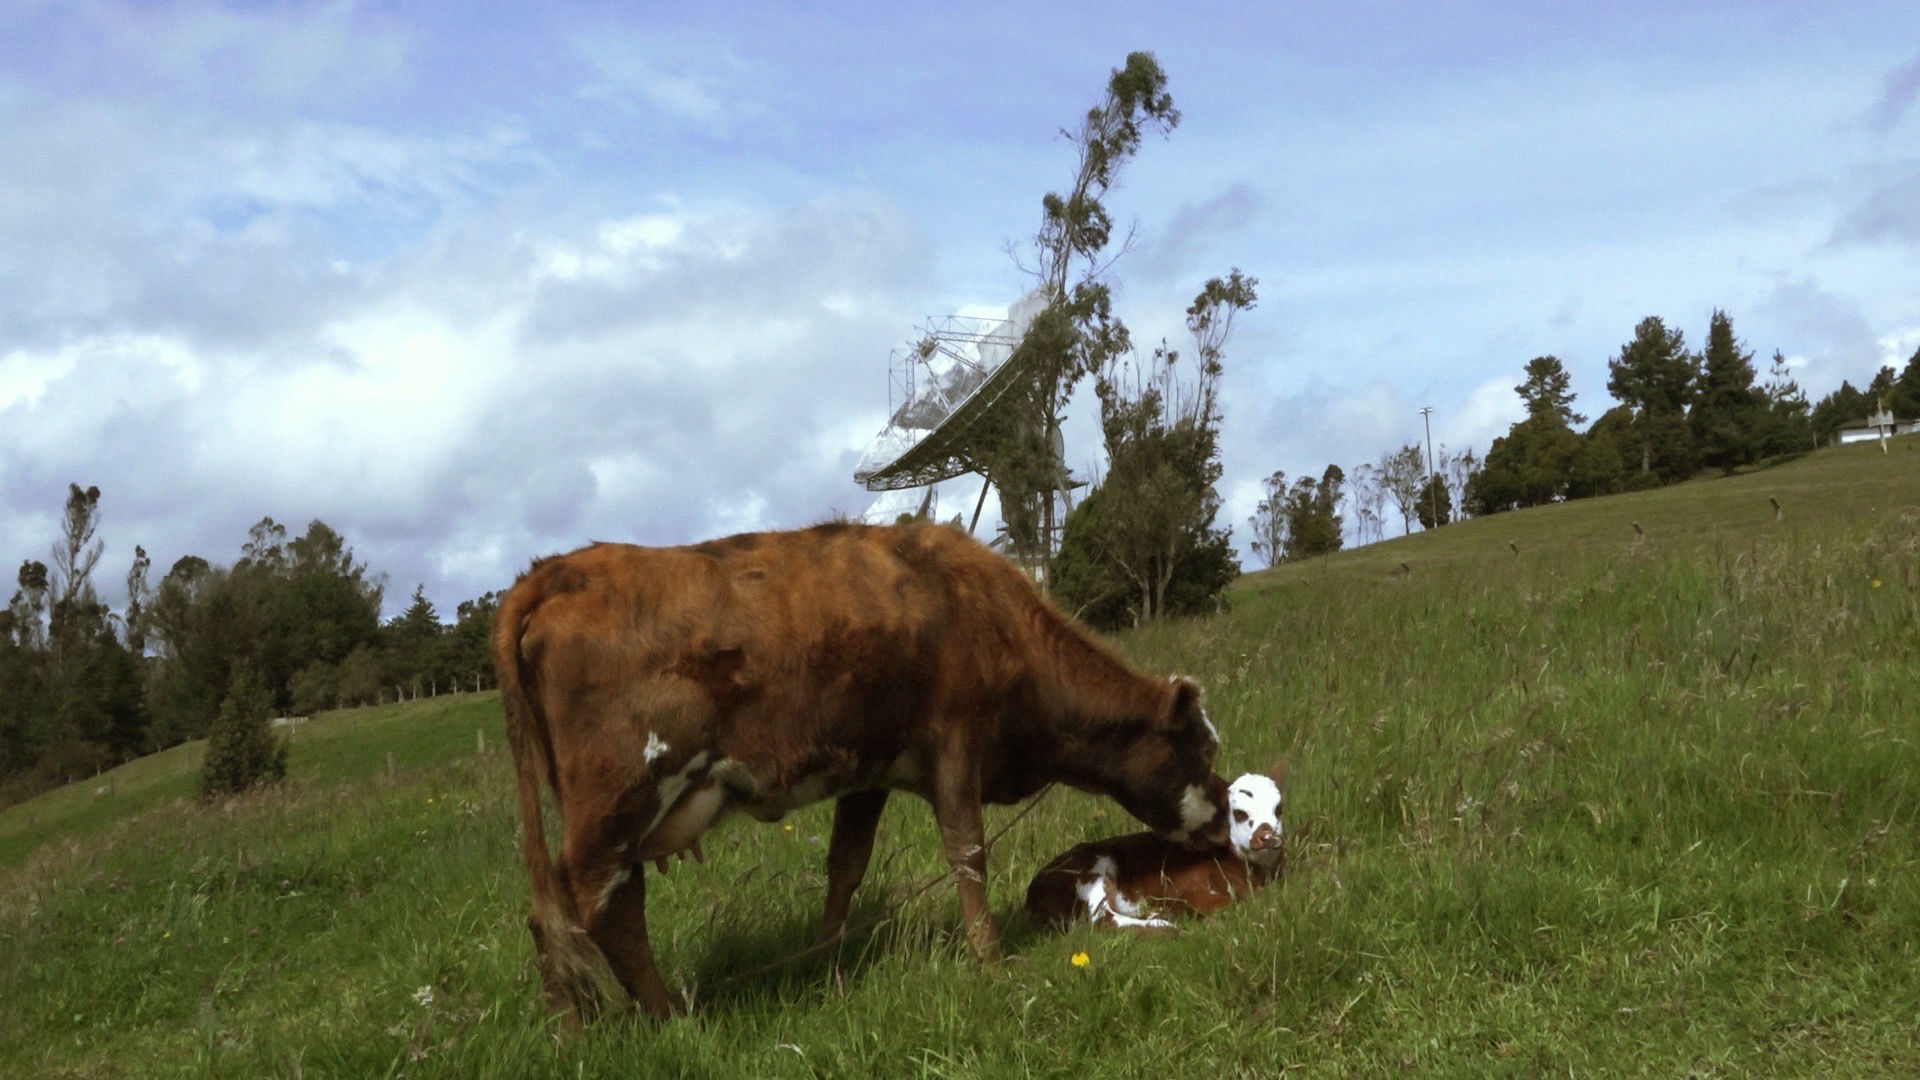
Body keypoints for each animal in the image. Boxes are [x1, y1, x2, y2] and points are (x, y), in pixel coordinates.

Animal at [487, 522, 1228, 1014]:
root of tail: (559, 570)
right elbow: (967, 853)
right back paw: (668, 1016)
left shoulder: (870, 773)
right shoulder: (955, 742)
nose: (1227, 815)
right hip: (620, 796)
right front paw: (990, 959)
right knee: (601, 904)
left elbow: (845, 866)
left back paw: (573, 1026)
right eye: (1206, 749)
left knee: (557, 915)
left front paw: (822, 964)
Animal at [1029, 764, 1282, 926]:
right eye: (1239, 813)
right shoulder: (1184, 886)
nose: (1268, 837)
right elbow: (1221, 902)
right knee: (1103, 918)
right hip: (1091, 868)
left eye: (1278, 809)